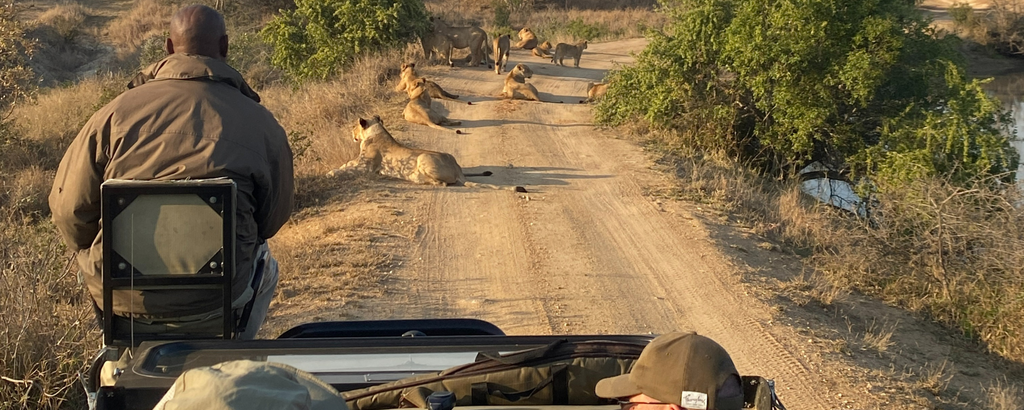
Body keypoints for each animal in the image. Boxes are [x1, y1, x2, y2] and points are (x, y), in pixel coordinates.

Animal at [329, 115, 528, 192]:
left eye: (353, 126)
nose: (351, 133)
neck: (376, 130)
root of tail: (458, 171)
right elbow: (346, 164)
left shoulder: (365, 166)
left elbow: (346, 168)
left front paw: (330, 173)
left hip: (423, 158)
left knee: (442, 184)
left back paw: (419, 180)